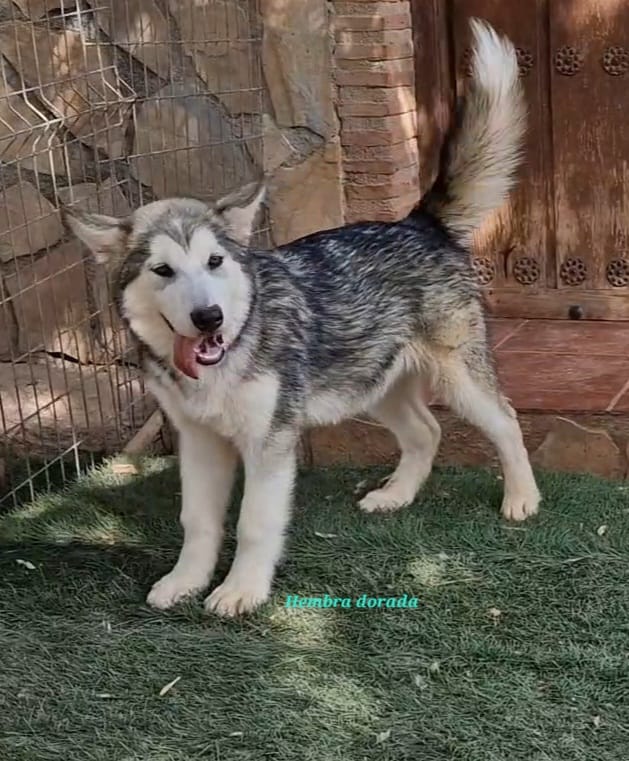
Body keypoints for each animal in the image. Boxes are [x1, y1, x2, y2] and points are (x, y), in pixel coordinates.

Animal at [63, 19, 540, 616]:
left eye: (214, 262)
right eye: (163, 270)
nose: (209, 318)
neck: (235, 346)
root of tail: (415, 222)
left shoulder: (269, 444)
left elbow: (253, 524)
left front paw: (241, 589)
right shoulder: (199, 443)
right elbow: (197, 521)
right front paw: (186, 580)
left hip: (459, 379)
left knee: (506, 420)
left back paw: (522, 499)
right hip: (374, 386)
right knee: (426, 431)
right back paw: (395, 495)